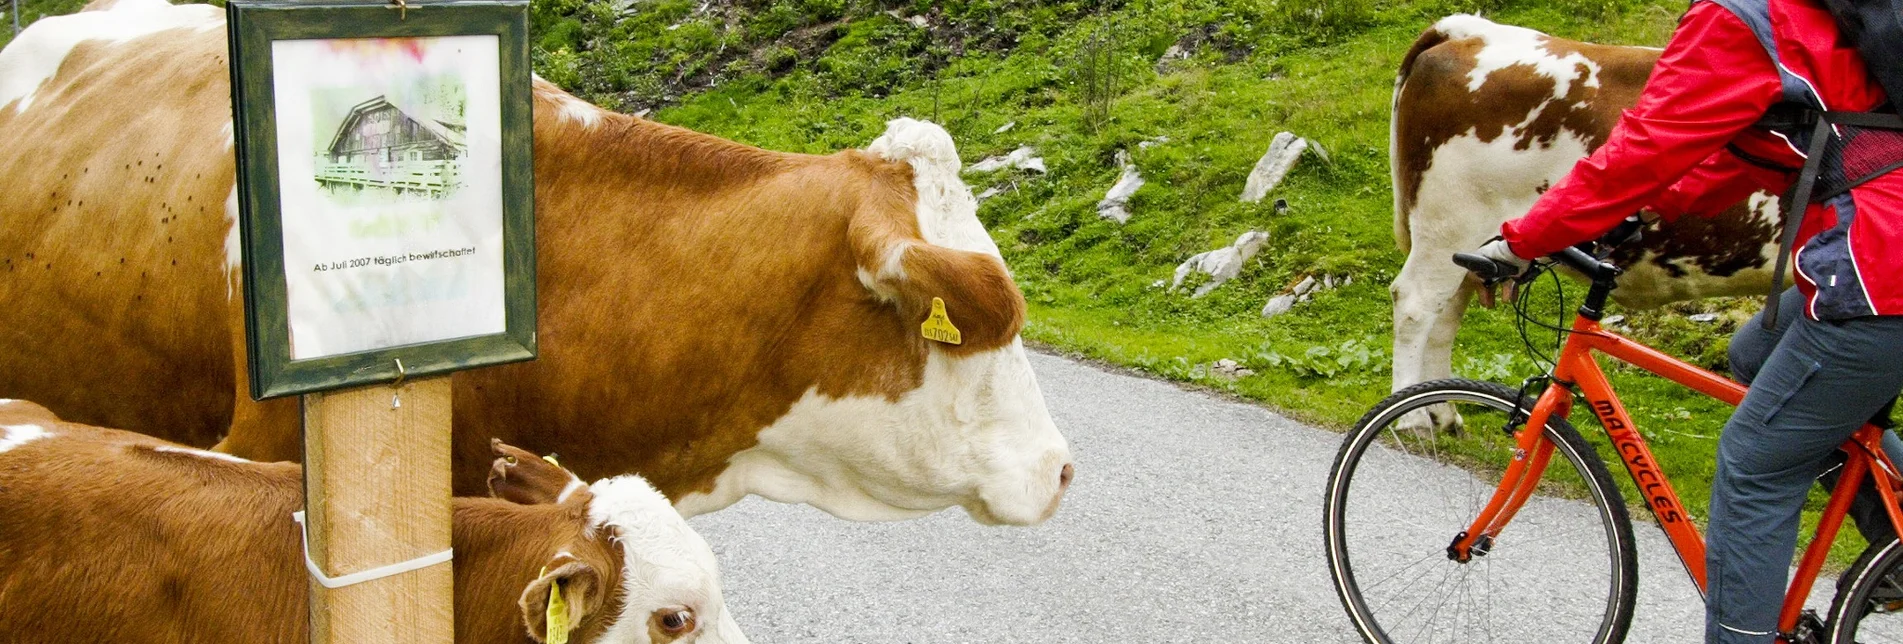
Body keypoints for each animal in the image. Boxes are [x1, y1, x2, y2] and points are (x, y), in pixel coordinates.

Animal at [1385, 15, 1781, 430]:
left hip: (1467, 245)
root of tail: (1469, 31)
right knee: (1415, 304)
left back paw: (1444, 414)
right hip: (1448, 225)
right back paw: (1412, 420)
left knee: (1446, 312)